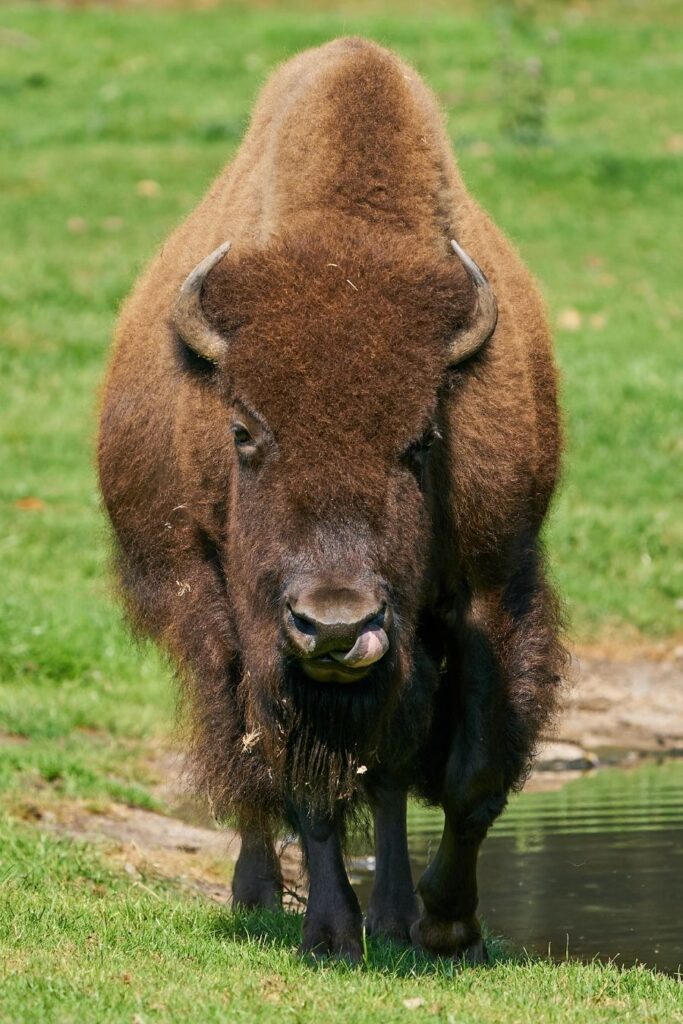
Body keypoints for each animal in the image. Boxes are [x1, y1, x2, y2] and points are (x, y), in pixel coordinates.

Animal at [97, 39, 565, 962]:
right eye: (243, 430)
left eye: (421, 438)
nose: (337, 624)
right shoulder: (251, 622)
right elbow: (297, 775)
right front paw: (327, 931)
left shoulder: (491, 585)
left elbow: (465, 773)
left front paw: (444, 923)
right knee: (247, 763)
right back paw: (258, 897)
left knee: (381, 769)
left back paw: (391, 913)